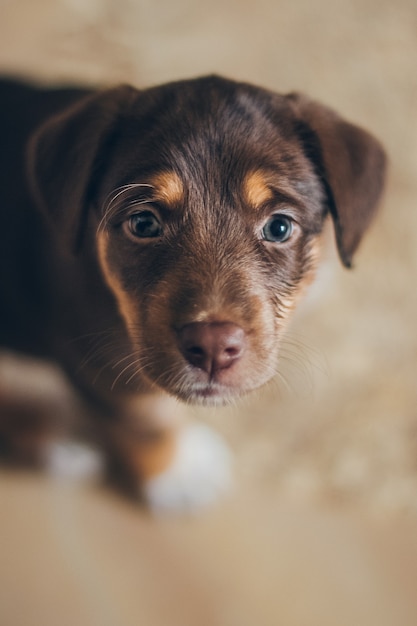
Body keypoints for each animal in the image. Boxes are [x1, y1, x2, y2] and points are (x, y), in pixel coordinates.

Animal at [0, 75, 384, 510]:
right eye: (143, 223)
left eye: (279, 227)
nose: (213, 347)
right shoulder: (96, 360)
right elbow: (144, 419)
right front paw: (177, 472)